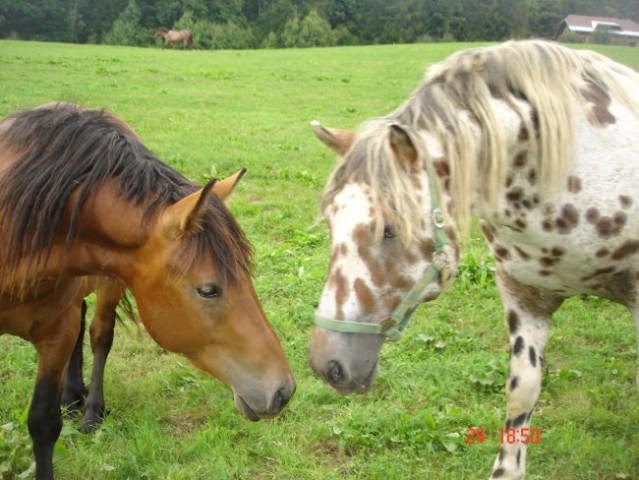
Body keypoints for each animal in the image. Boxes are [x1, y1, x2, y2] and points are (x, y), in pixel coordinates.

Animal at [0, 103, 296, 478]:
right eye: (208, 290)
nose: (284, 390)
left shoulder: (57, 333)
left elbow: (43, 421)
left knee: (98, 333)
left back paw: (88, 407)